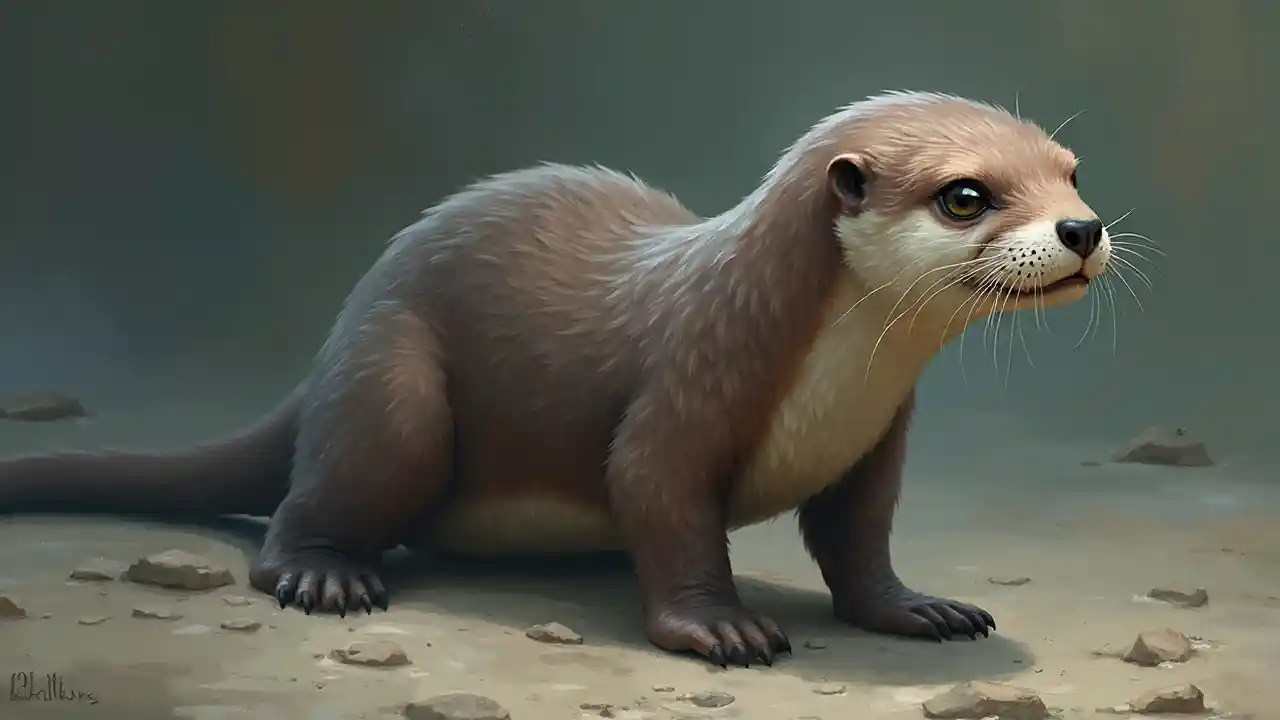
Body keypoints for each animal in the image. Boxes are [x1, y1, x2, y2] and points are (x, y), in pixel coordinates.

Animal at [0, 91, 1112, 668]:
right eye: (964, 195)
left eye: (1069, 170)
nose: (1081, 228)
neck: (834, 386)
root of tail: (339, 334)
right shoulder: (682, 393)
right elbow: (661, 503)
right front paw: (717, 625)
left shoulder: (876, 442)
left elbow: (860, 541)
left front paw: (917, 608)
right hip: (394, 394)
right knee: (312, 503)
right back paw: (323, 574)